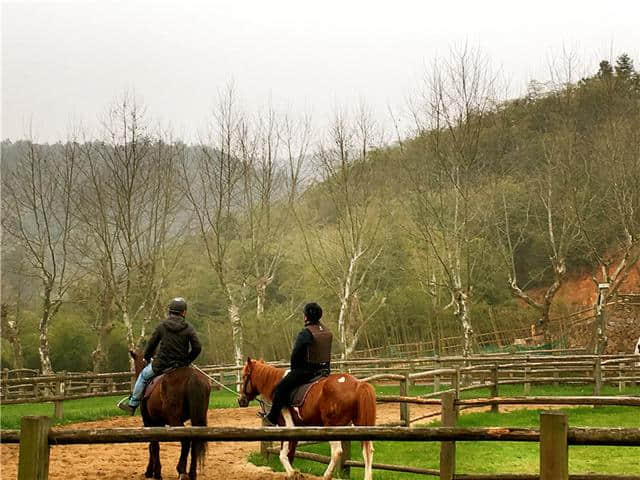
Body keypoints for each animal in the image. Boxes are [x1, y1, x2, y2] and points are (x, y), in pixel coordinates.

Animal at [129, 348, 210, 480]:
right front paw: (151, 470)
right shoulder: (159, 423)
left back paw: (181, 470)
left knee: (185, 442)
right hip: (198, 418)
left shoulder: (149, 421)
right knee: (195, 441)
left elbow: (153, 445)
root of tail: (192, 377)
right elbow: (152, 446)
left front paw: (155, 472)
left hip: (175, 420)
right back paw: (192, 473)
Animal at [236, 358, 376, 478]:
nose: (240, 400)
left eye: (244, 376)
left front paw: (292, 473)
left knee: (337, 451)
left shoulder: (285, 426)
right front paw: (293, 474)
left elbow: (282, 455)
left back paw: (327, 475)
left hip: (332, 426)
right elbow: (290, 454)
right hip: (358, 426)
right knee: (367, 451)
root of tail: (358, 384)